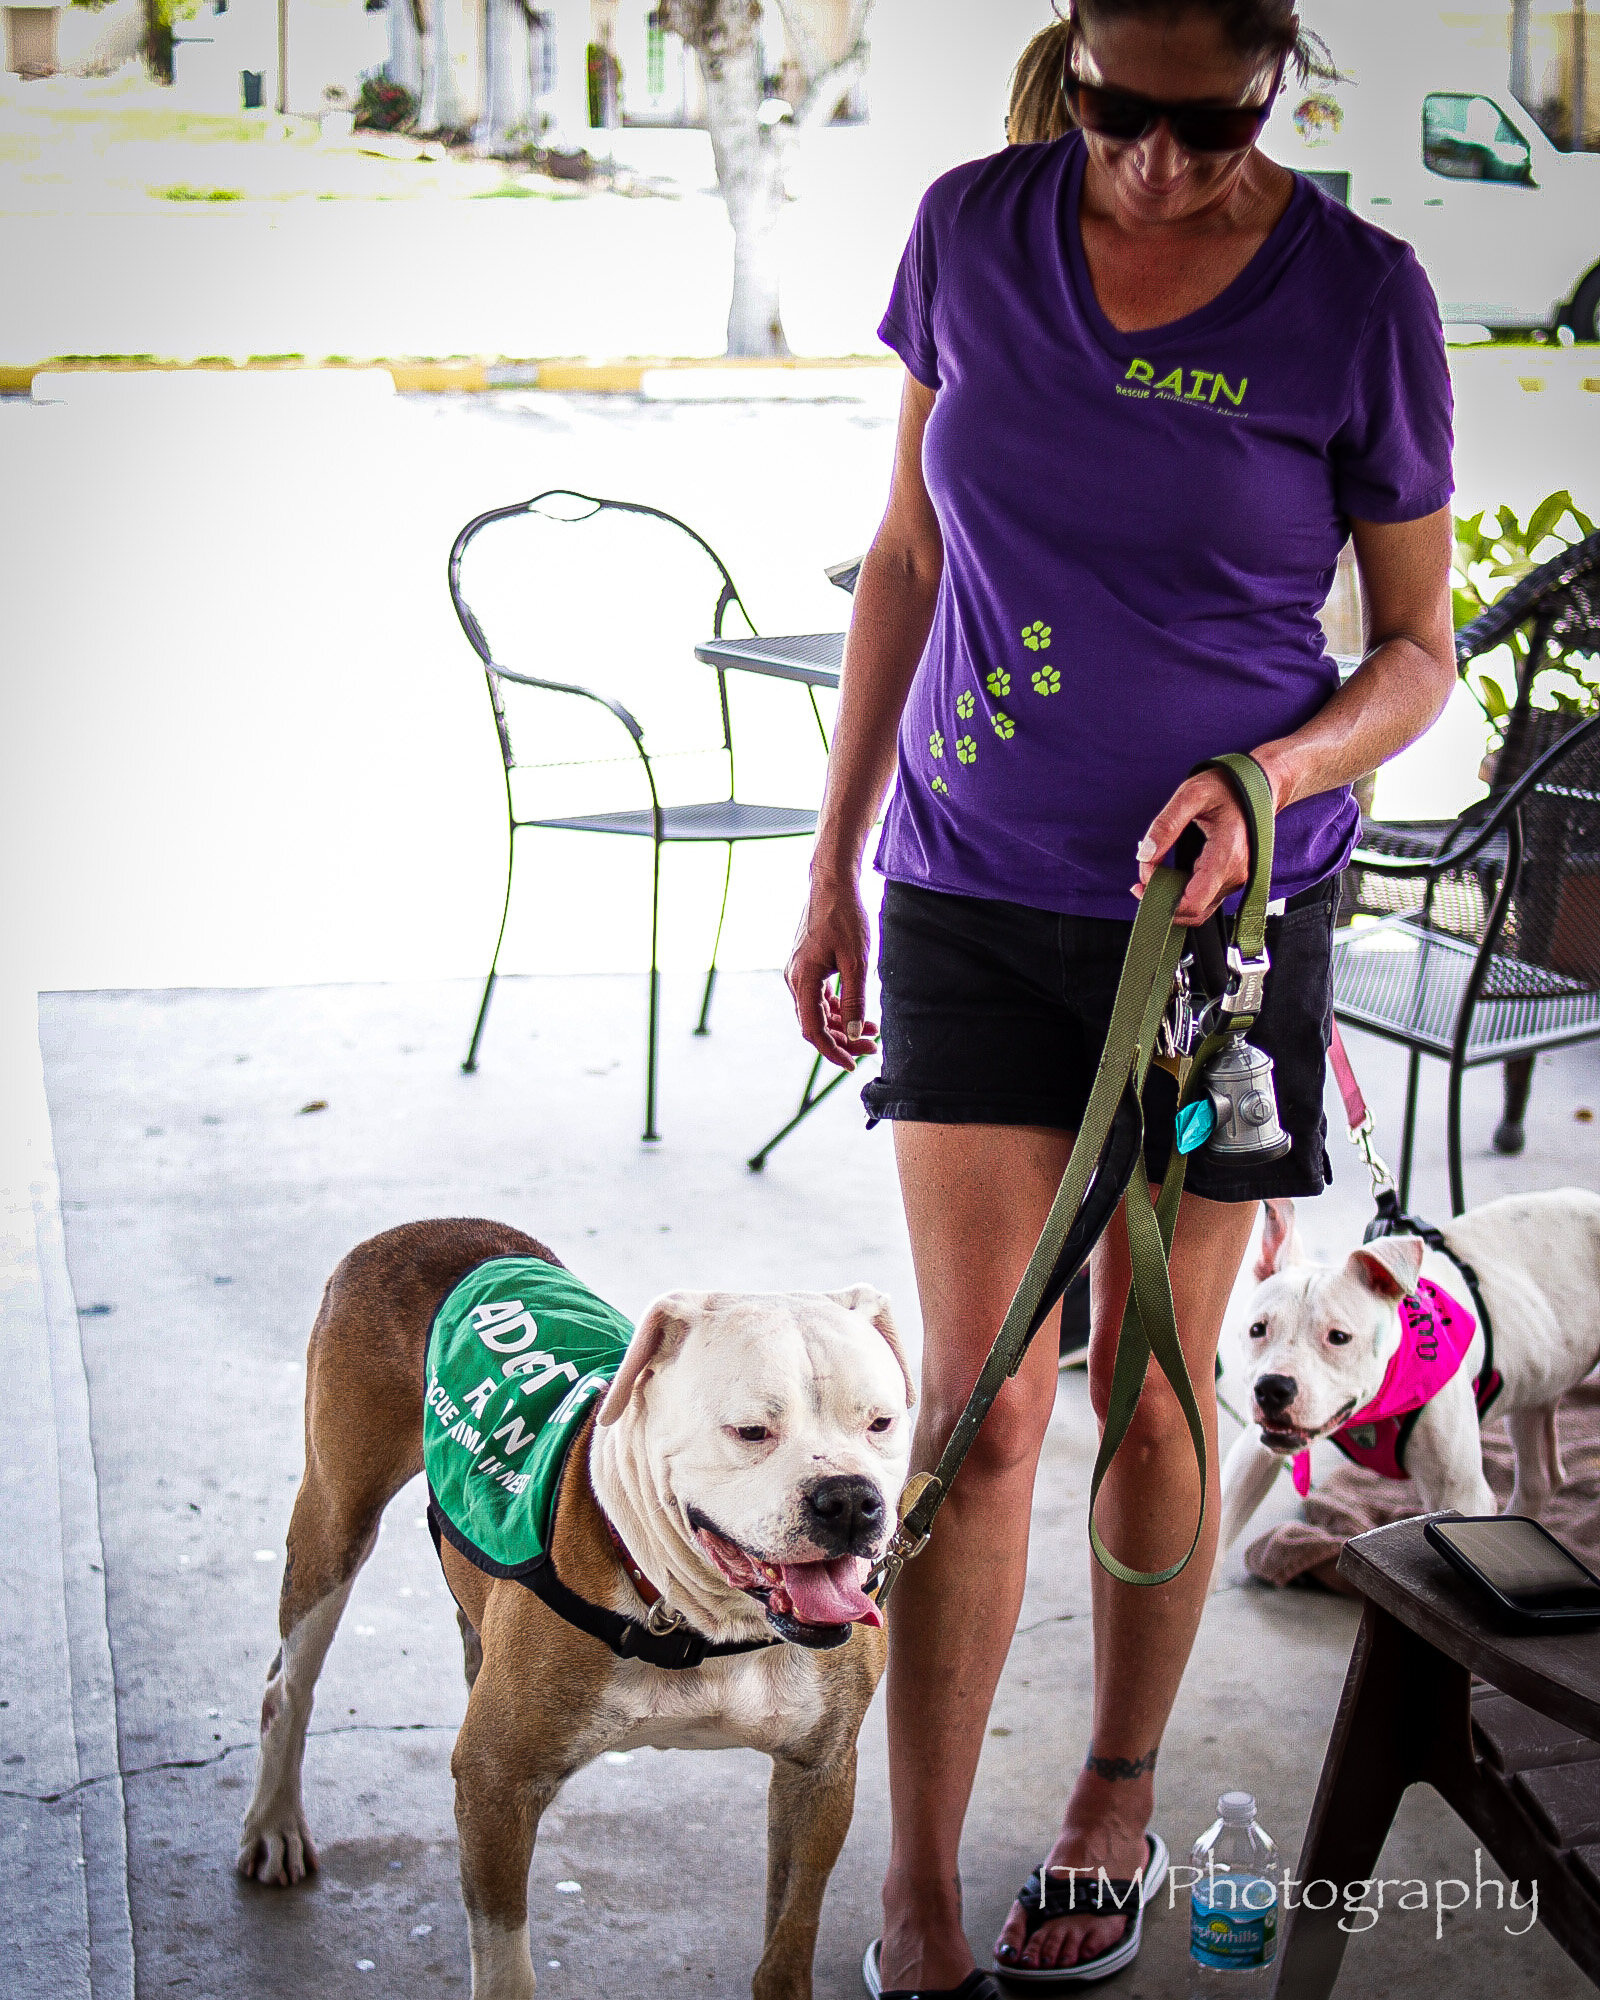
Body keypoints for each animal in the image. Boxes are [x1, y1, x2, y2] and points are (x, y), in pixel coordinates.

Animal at [236, 1220, 914, 2000]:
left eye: (881, 1422)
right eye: (750, 1432)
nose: (851, 1499)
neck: (695, 1620)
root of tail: (430, 1224)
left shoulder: (819, 1772)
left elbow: (790, 1936)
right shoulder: (495, 1777)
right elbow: (505, 1964)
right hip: (335, 1520)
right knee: (289, 1684)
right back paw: (274, 1825)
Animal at [1213, 1190, 1600, 1579]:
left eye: (1338, 1337)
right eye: (1258, 1329)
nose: (1272, 1388)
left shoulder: (1461, 1495)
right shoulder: (1255, 1449)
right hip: (1537, 1387)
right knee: (1541, 1477)